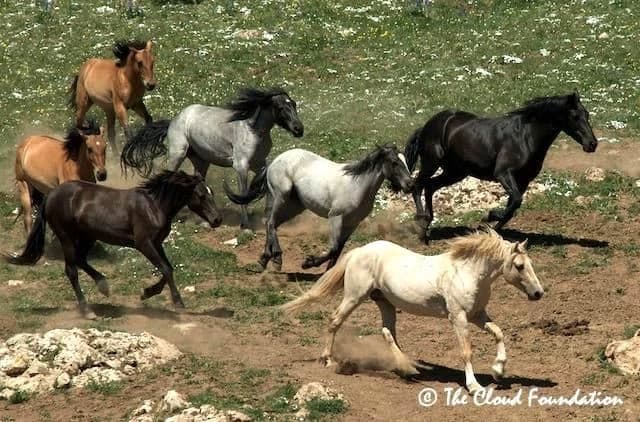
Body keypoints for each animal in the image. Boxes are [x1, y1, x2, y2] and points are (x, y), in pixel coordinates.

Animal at [5, 171, 222, 320]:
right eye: (201, 195)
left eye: (211, 192)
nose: (217, 220)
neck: (154, 206)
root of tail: (51, 195)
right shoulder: (144, 243)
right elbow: (166, 269)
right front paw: (178, 304)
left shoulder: (157, 243)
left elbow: (168, 268)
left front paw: (147, 293)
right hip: (66, 236)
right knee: (71, 270)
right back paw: (88, 311)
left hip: (88, 236)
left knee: (80, 260)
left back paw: (104, 286)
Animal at [120, 87, 304, 229]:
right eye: (281, 107)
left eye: (293, 104)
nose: (299, 129)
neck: (253, 131)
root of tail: (174, 120)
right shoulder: (241, 167)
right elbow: (243, 194)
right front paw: (246, 225)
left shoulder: (259, 164)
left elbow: (265, 186)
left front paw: (266, 218)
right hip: (177, 154)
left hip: (201, 162)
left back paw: (201, 221)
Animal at [224, 145, 414, 271]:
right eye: (394, 162)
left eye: (405, 161)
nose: (410, 184)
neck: (357, 185)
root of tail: (273, 162)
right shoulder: (335, 217)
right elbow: (333, 248)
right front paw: (308, 263)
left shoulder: (352, 223)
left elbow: (338, 250)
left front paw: (329, 273)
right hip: (281, 197)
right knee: (270, 222)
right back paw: (277, 258)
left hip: (293, 206)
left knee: (271, 224)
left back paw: (264, 260)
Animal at [280, 229, 544, 393]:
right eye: (519, 266)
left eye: (530, 264)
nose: (538, 293)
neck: (466, 272)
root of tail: (359, 251)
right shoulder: (458, 317)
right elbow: (466, 351)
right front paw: (474, 386)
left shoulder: (477, 315)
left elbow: (499, 333)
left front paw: (498, 371)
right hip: (355, 296)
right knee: (335, 320)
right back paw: (327, 359)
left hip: (385, 302)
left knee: (387, 332)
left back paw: (406, 367)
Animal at [404, 93, 598, 241]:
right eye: (575, 116)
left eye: (587, 114)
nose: (592, 144)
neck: (525, 137)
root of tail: (427, 125)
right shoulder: (503, 174)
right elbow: (515, 201)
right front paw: (487, 217)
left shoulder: (523, 180)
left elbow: (512, 207)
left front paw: (491, 227)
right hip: (431, 163)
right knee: (418, 185)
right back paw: (421, 222)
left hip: (455, 172)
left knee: (430, 186)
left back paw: (427, 224)